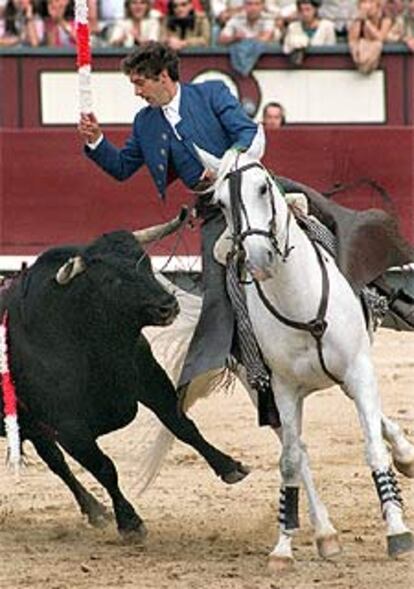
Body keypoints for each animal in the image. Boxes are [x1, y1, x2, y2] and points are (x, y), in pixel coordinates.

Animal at [0, 214, 247, 540]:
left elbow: (183, 425)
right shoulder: (69, 427)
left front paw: (229, 466)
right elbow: (104, 467)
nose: (168, 306)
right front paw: (129, 521)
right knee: (58, 460)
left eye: (146, 264)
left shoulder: (150, 380)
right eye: (111, 281)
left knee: (53, 459)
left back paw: (95, 510)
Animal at [199, 150, 412, 564]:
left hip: (352, 372)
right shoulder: (281, 389)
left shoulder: (358, 368)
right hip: (261, 392)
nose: (260, 258)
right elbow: (289, 463)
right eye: (220, 202)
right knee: (299, 451)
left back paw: (405, 455)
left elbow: (373, 446)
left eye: (263, 188)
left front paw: (397, 530)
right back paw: (325, 534)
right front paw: (283, 547)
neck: (298, 302)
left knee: (371, 423)